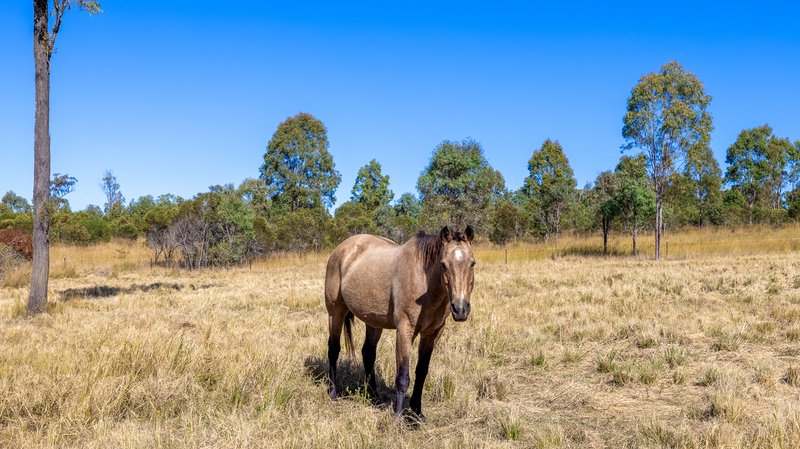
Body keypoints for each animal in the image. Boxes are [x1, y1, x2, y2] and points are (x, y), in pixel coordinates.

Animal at [324, 226, 476, 418]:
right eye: (443, 264)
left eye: (472, 263)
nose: (460, 308)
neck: (424, 282)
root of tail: (341, 249)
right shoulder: (405, 330)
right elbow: (403, 376)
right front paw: (397, 417)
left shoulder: (433, 333)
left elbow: (421, 371)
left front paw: (417, 413)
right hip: (335, 313)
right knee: (333, 349)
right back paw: (333, 394)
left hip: (373, 322)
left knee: (368, 353)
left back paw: (375, 397)